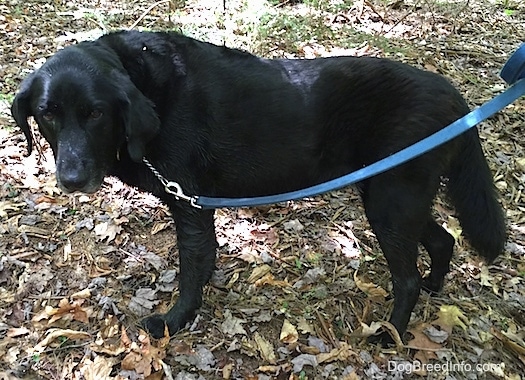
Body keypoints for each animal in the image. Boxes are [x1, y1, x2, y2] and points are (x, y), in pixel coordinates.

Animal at [11, 29, 504, 344]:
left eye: (96, 113)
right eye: (48, 113)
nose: (71, 179)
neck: (145, 86)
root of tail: (457, 100)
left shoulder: (190, 204)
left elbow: (190, 270)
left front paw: (176, 320)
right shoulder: (198, 207)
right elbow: (204, 259)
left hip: (390, 202)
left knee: (407, 279)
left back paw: (393, 335)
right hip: (393, 196)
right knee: (442, 241)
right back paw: (436, 286)